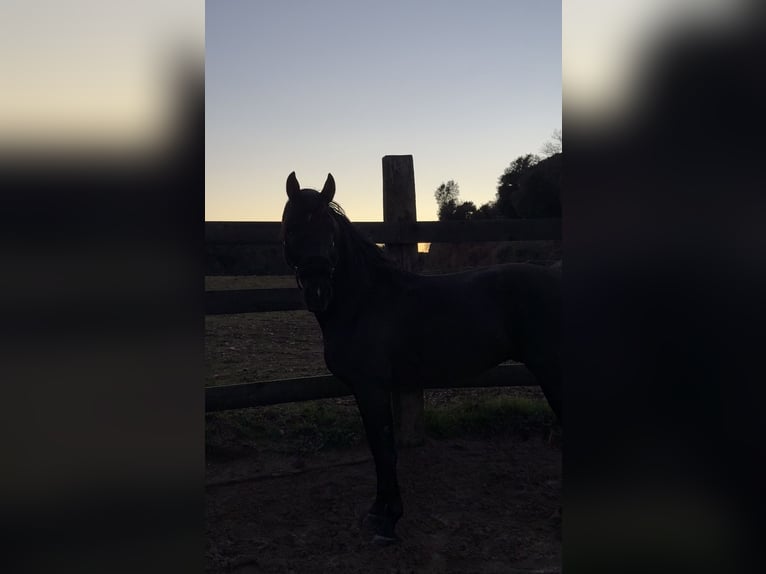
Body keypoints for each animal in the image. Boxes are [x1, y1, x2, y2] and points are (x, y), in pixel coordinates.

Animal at [281, 171, 562, 544]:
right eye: (292, 229)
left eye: (331, 234)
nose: (318, 293)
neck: (364, 302)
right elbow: (378, 447)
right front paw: (378, 512)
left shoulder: (371, 388)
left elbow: (383, 448)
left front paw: (387, 521)